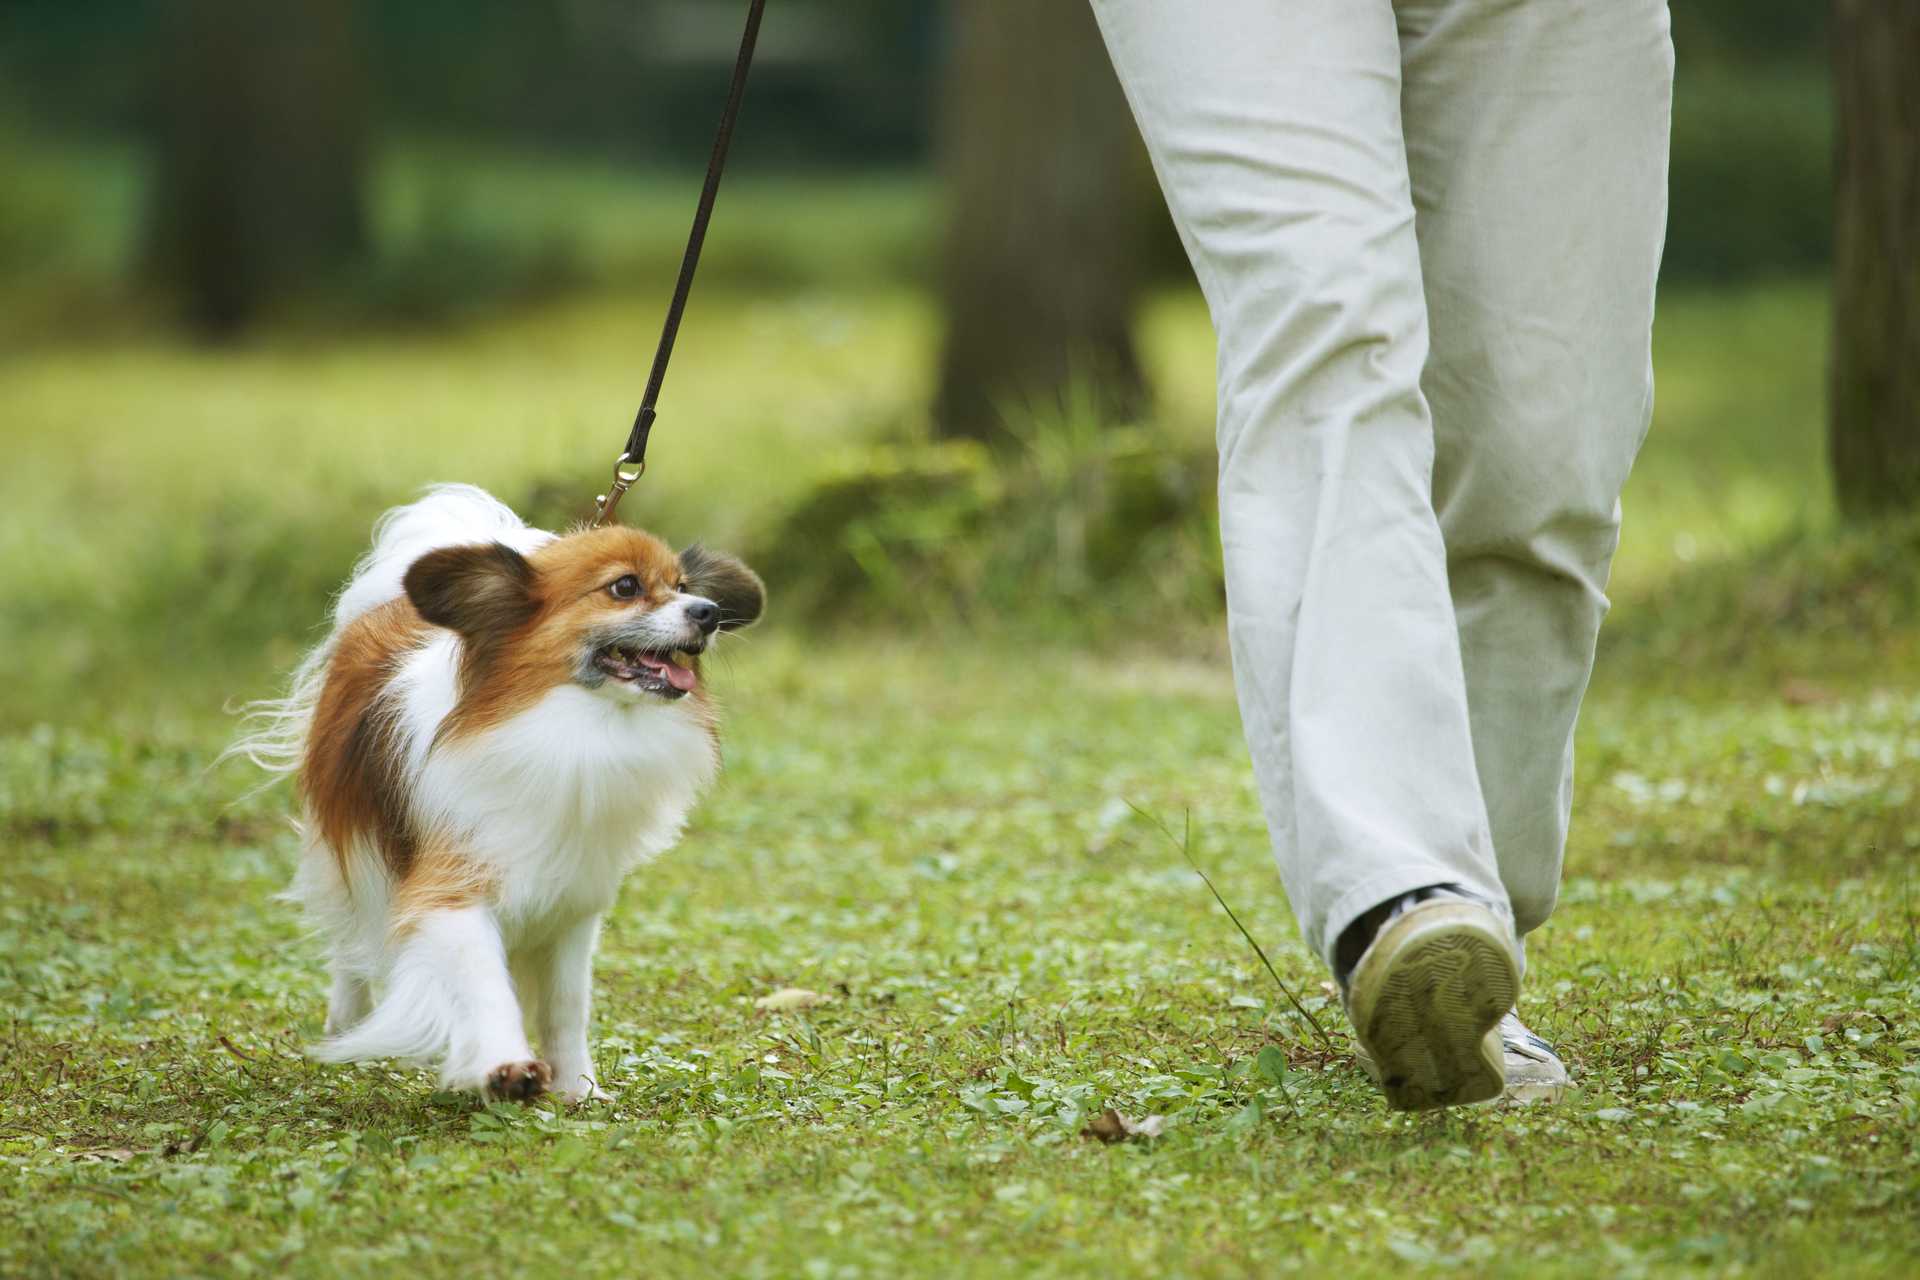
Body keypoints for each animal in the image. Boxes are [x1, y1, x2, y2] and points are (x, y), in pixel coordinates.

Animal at [232, 485, 756, 1105]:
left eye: (682, 585)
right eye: (625, 587)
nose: (709, 612)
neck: (571, 726)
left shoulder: (573, 904)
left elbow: (565, 1006)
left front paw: (577, 1088)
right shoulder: (451, 885)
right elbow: (486, 984)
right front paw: (506, 1064)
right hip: (350, 852)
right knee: (349, 944)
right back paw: (347, 1020)